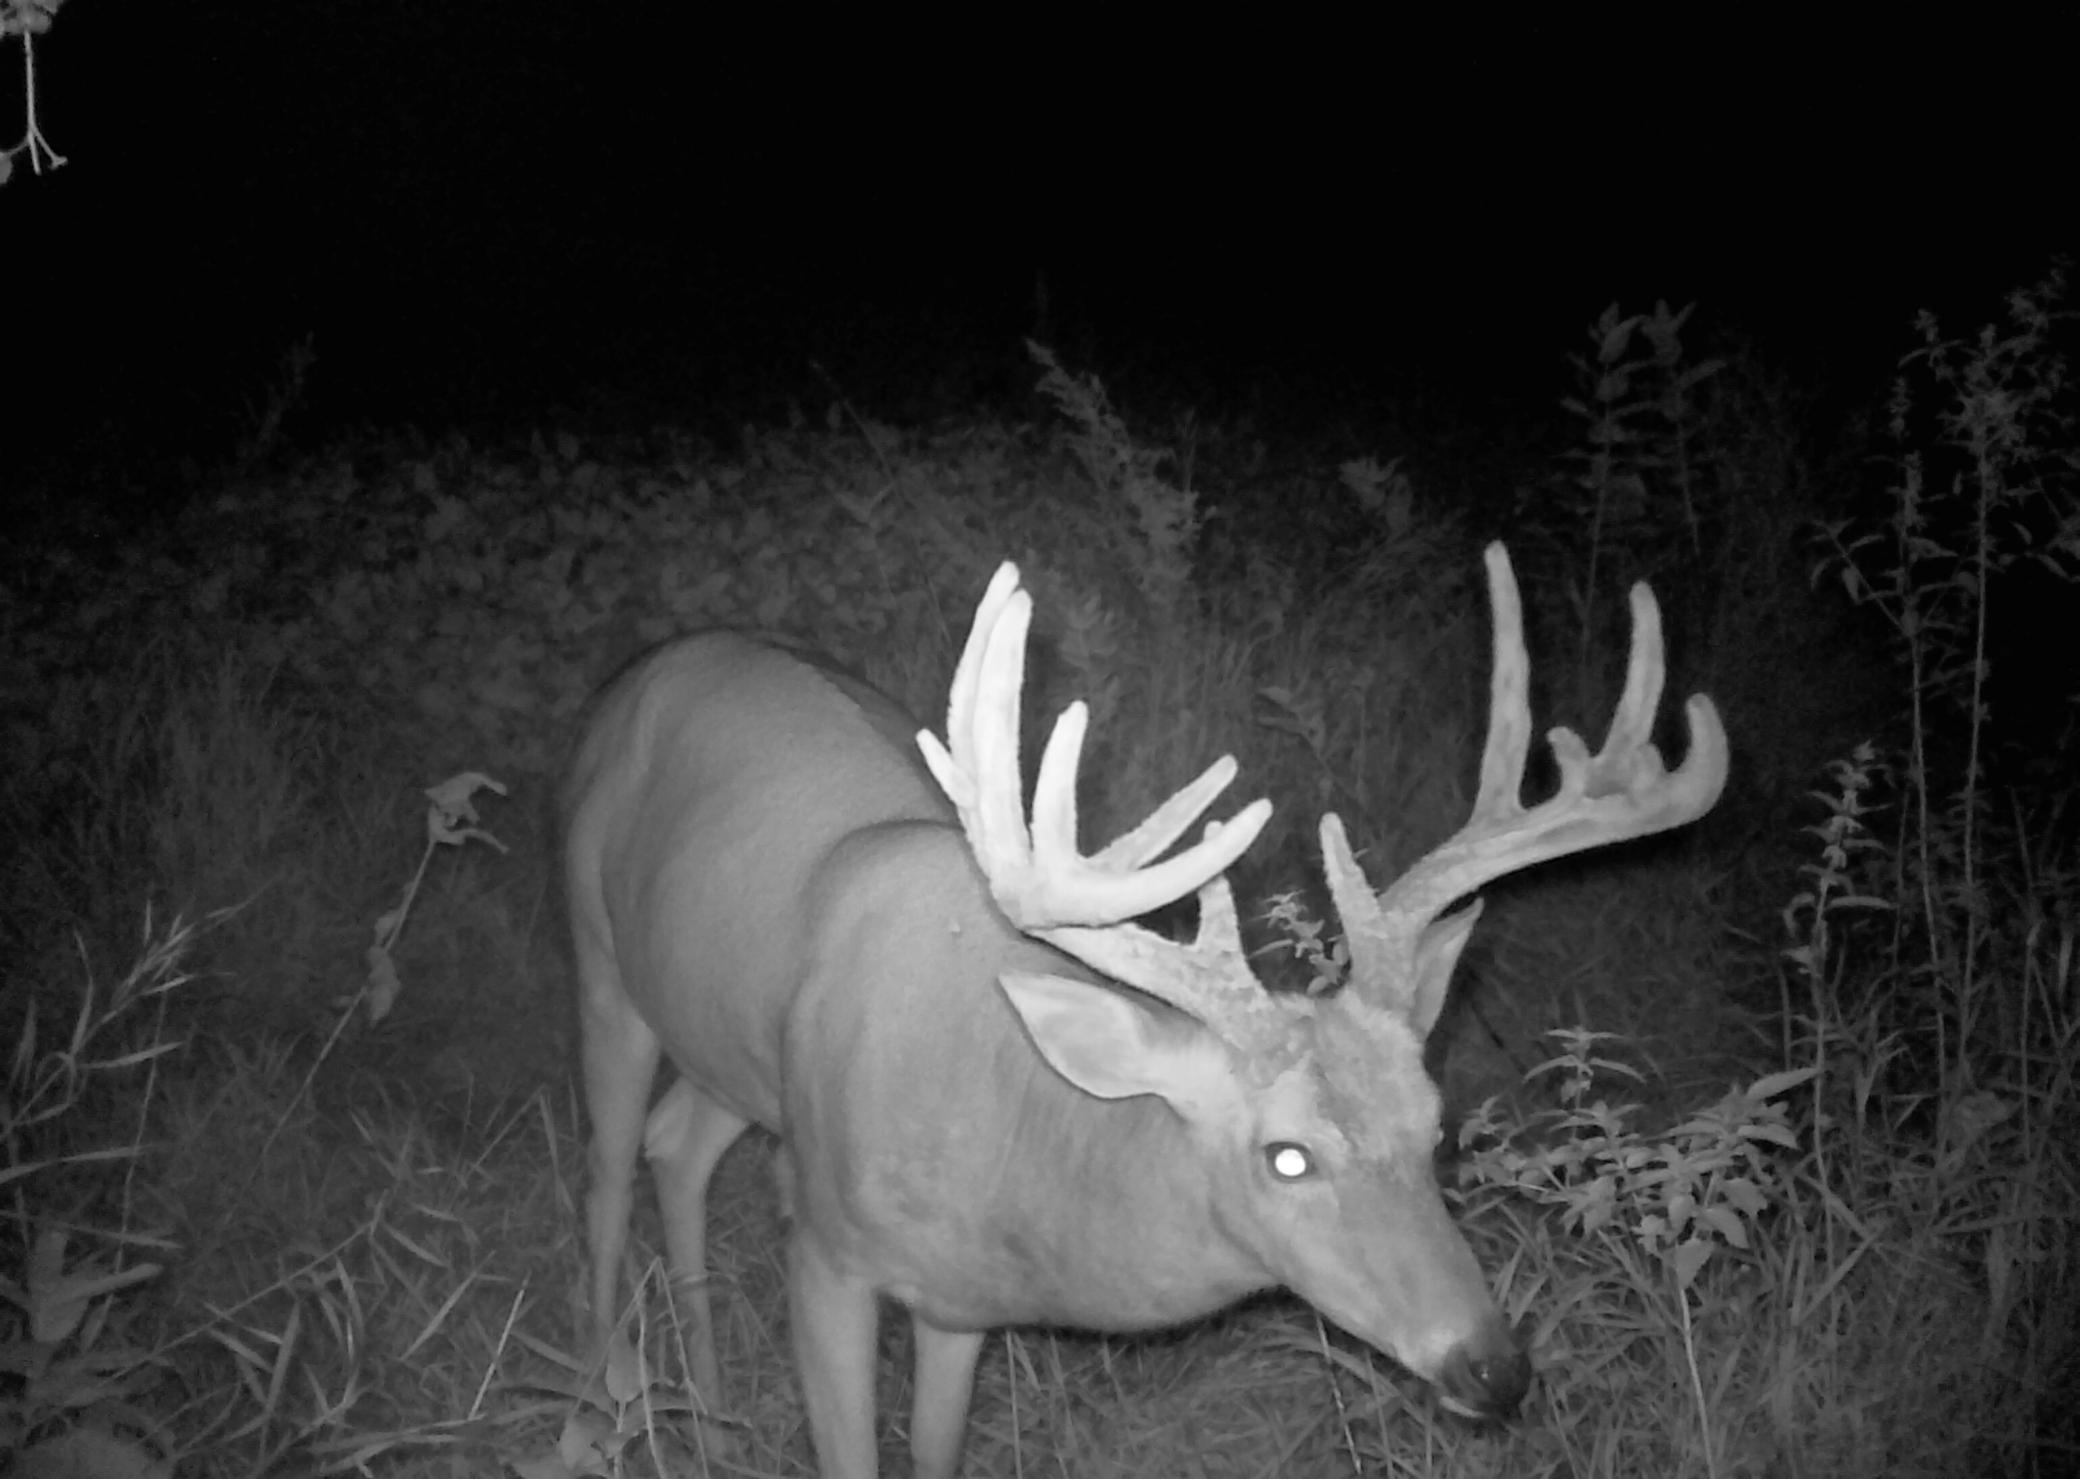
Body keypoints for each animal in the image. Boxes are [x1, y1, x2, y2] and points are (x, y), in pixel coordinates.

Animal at [561, 544, 1728, 1478]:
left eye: (1433, 1129)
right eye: (1286, 1156)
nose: (1494, 1368)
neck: (1027, 1127)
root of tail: (654, 662)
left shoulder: (958, 1306)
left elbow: (934, 1453)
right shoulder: (825, 1252)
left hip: (730, 1045)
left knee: (677, 1142)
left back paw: (712, 1419)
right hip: (602, 960)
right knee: (611, 1171)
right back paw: (596, 1397)